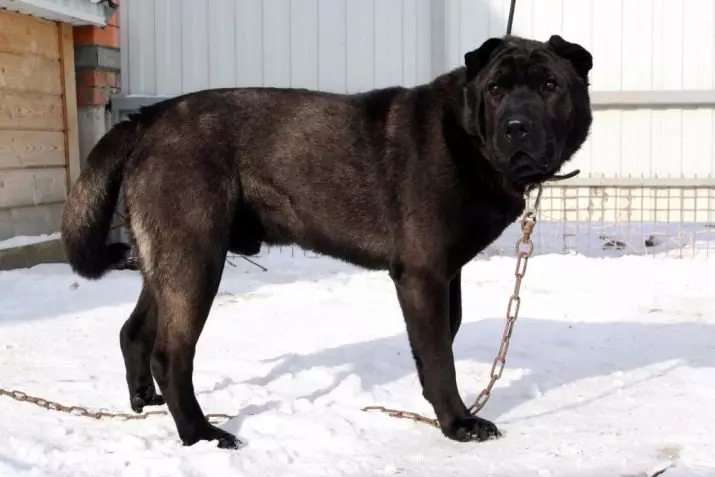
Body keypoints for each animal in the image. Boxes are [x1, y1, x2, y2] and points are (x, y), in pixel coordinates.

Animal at [60, 35, 592, 448]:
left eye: (550, 86)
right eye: (497, 90)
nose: (517, 127)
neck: (466, 136)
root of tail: (146, 118)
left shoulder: (447, 274)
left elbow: (441, 340)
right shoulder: (422, 275)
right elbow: (440, 354)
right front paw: (458, 423)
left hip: (170, 260)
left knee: (134, 332)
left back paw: (144, 400)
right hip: (195, 259)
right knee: (171, 355)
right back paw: (202, 435)